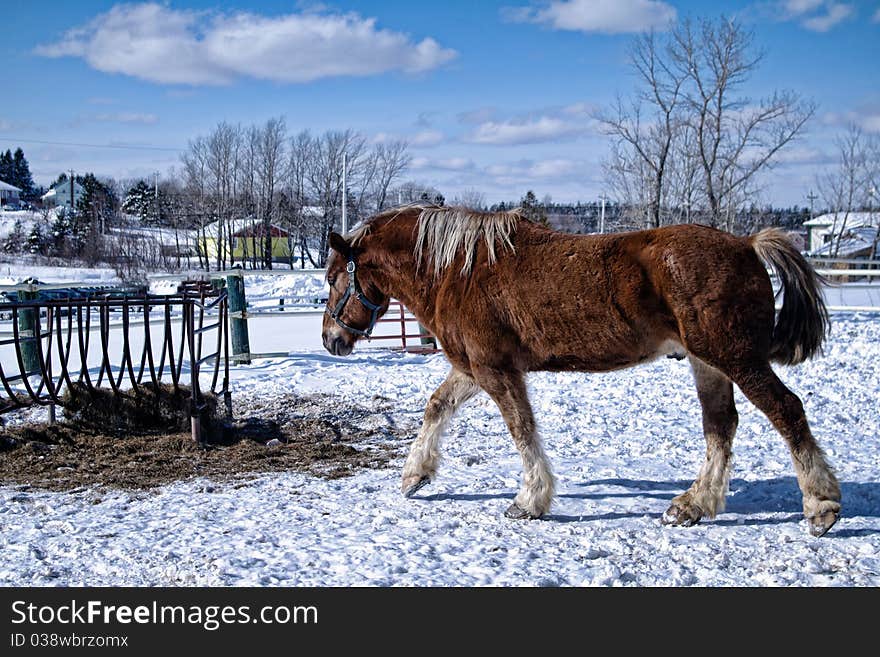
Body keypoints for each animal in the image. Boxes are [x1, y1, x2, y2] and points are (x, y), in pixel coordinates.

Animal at [322, 206, 840, 540]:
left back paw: (821, 506)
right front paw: (415, 475)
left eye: (331, 278)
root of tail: (747, 244)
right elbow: (437, 406)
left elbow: (521, 429)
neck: (459, 270)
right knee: (720, 426)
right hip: (708, 363)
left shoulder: (496, 370)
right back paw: (692, 506)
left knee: (786, 410)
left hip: (735, 357)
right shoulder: (473, 368)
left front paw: (530, 501)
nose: (331, 339)